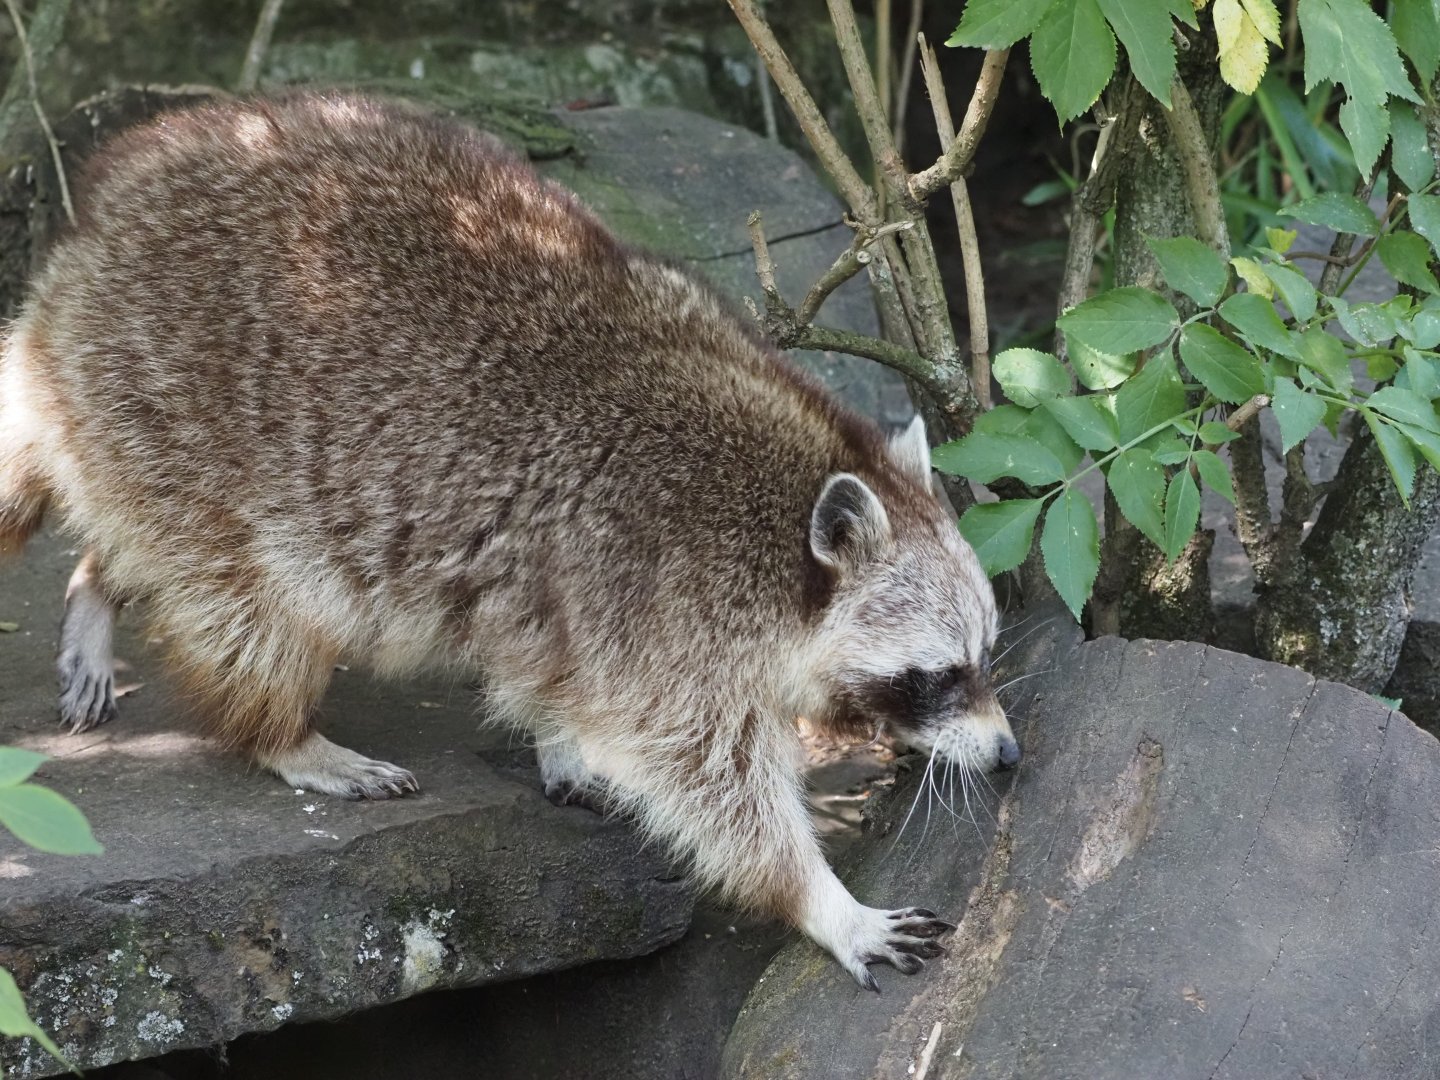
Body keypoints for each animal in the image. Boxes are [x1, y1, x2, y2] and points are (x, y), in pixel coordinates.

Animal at [0, 93, 1017, 988]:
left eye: (985, 655)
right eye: (936, 675)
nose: (1009, 755)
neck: (783, 519)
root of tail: (95, 222)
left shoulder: (584, 591)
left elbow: (554, 672)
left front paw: (562, 742)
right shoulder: (657, 591)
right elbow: (709, 780)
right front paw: (820, 898)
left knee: (136, 535)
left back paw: (97, 583)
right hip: (180, 408)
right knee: (249, 600)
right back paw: (283, 733)